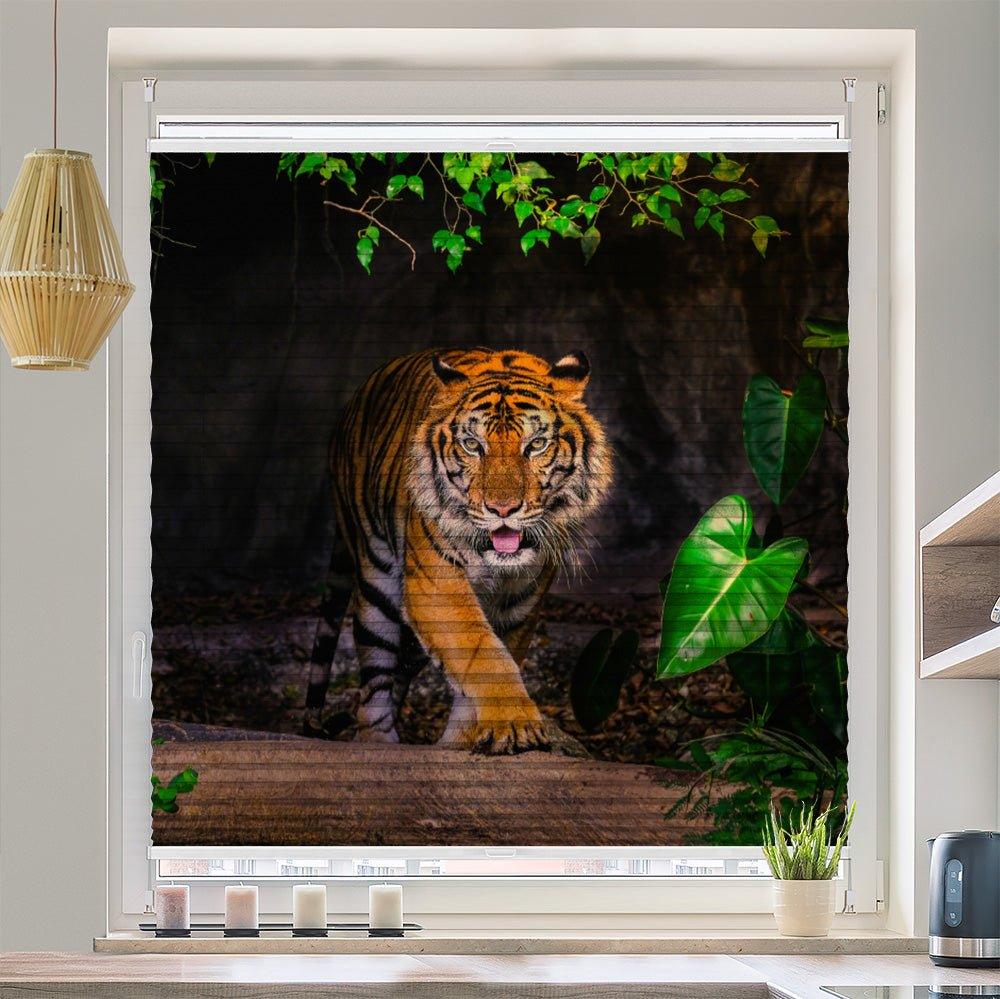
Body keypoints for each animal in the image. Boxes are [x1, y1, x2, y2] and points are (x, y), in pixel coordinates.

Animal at [307, 347, 612, 755]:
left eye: (535, 445)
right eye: (473, 446)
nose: (502, 509)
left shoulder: (522, 601)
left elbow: (494, 658)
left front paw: (465, 740)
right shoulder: (435, 586)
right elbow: (482, 651)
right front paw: (515, 725)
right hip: (376, 586)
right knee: (375, 681)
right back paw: (378, 741)